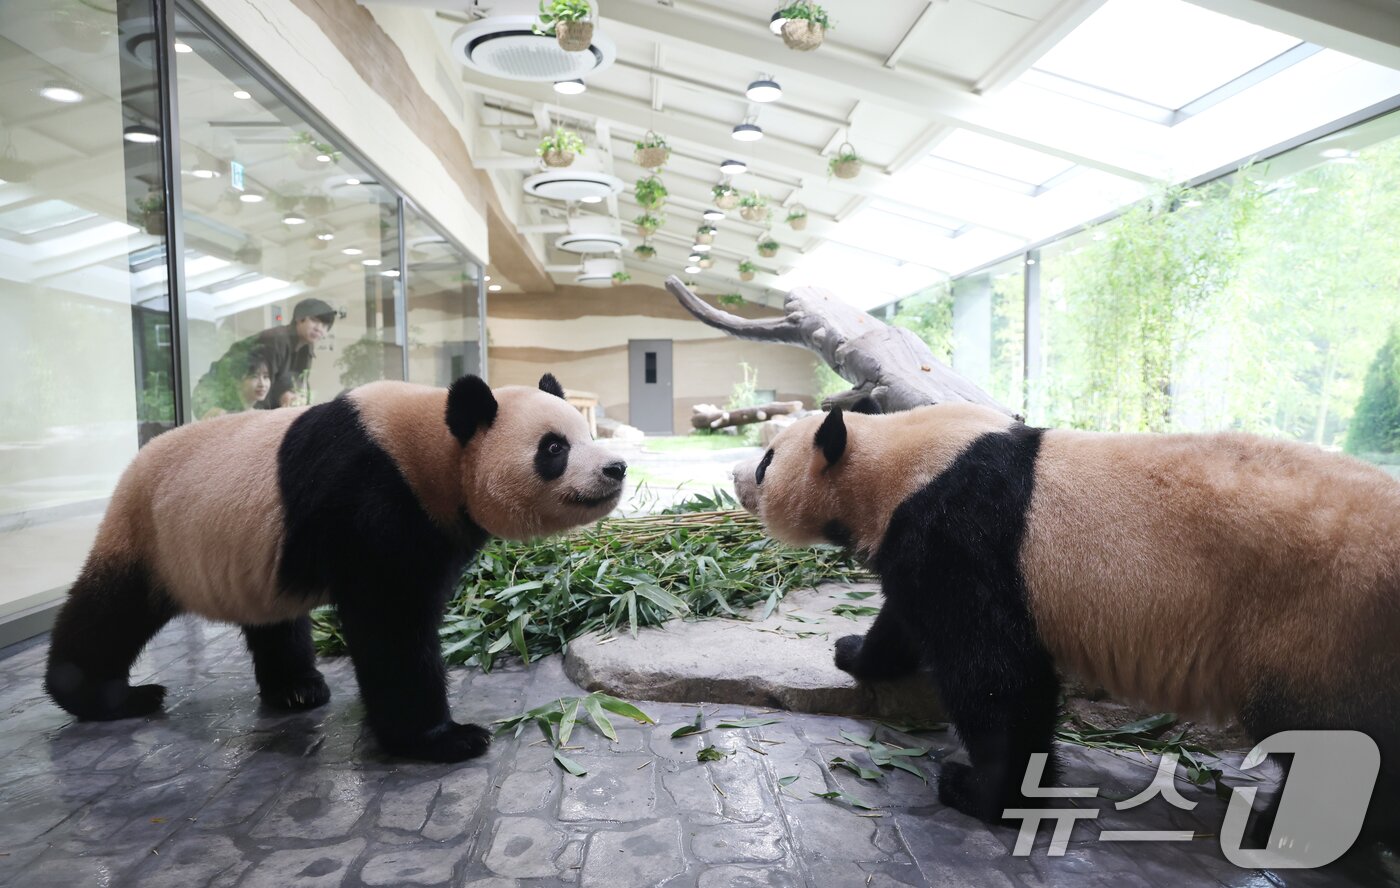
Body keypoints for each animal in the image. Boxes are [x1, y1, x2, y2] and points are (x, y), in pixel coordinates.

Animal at [45, 374, 625, 763]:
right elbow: (390, 622)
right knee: (110, 611)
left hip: (252, 555)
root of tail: (134, 463)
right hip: (151, 532)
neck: (433, 449)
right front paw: (445, 738)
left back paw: (298, 689)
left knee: (273, 617)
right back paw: (106, 696)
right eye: (554, 447)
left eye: (587, 436)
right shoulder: (371, 497)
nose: (615, 467)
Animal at [733, 398, 1400, 838]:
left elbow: (994, 674)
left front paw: (983, 792)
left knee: (1337, 744)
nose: (736, 477)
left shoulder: (962, 533)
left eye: (766, 461)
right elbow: (903, 621)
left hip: (1320, 626)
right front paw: (853, 651)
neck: (901, 460)